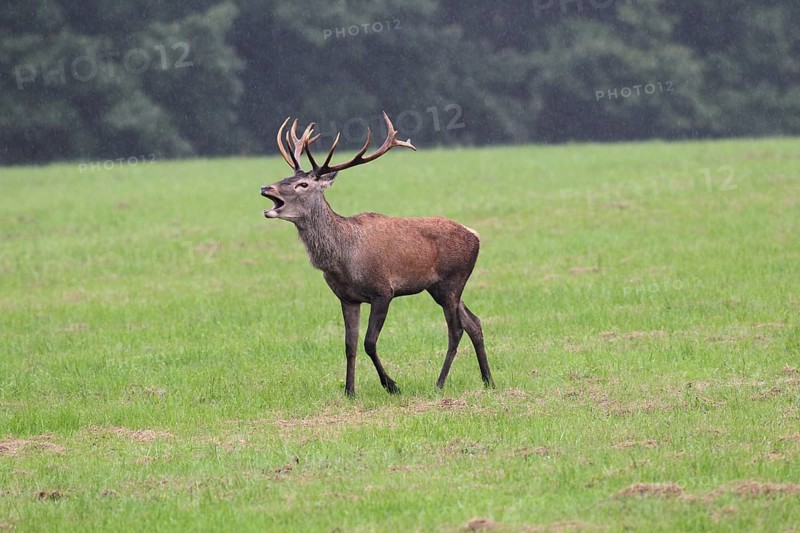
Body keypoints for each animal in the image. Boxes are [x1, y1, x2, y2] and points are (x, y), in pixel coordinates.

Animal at [260, 111, 494, 396]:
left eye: (302, 184)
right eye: (286, 178)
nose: (266, 188)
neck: (342, 258)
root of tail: (475, 235)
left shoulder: (383, 290)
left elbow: (369, 342)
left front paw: (392, 385)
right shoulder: (347, 298)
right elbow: (349, 344)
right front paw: (350, 391)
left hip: (453, 280)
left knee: (456, 330)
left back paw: (439, 383)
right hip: (439, 287)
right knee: (474, 322)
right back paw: (489, 380)